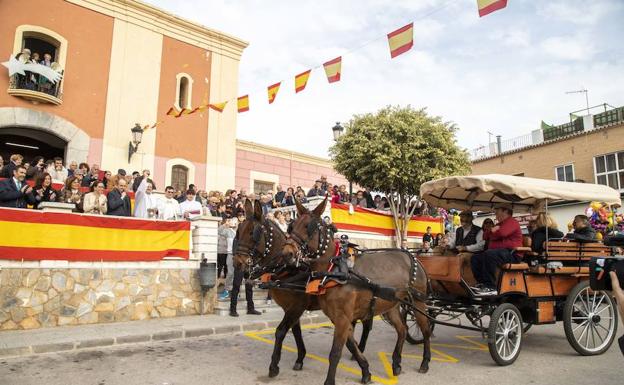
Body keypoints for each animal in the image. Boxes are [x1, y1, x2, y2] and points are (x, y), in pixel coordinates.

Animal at [233, 200, 370, 376]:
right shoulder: (290, 308)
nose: (237, 262)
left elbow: (281, 331)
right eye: (238, 231)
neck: (288, 268)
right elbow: (295, 331)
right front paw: (300, 358)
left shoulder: (297, 306)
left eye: (253, 233)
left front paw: (274, 365)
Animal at [280, 198, 432, 384]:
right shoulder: (338, 318)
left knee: (425, 329)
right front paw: (365, 371)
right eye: (292, 226)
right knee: (402, 329)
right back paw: (396, 362)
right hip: (391, 304)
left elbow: (335, 353)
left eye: (310, 227)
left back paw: (425, 362)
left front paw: (330, 381)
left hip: (418, 301)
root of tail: (413, 257)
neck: (335, 270)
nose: (287, 253)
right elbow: (351, 346)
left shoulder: (343, 317)